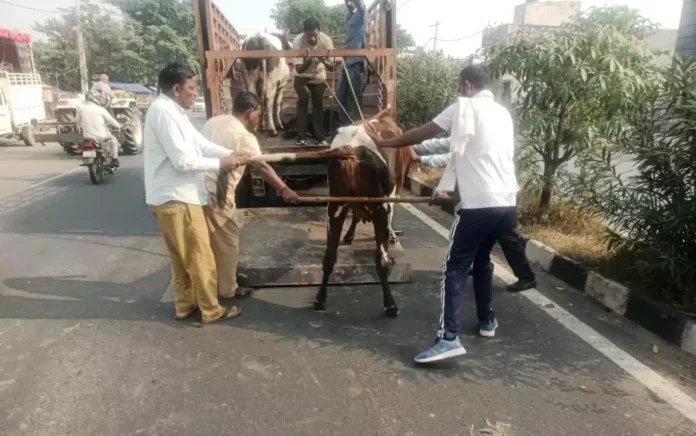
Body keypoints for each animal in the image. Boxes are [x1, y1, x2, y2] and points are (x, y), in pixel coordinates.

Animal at [254, 107, 414, 316]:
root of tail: (352, 148)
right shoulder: (391, 198)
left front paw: (350, 235)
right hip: (378, 207)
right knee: (381, 260)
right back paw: (391, 305)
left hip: (334, 208)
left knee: (329, 257)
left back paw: (319, 300)